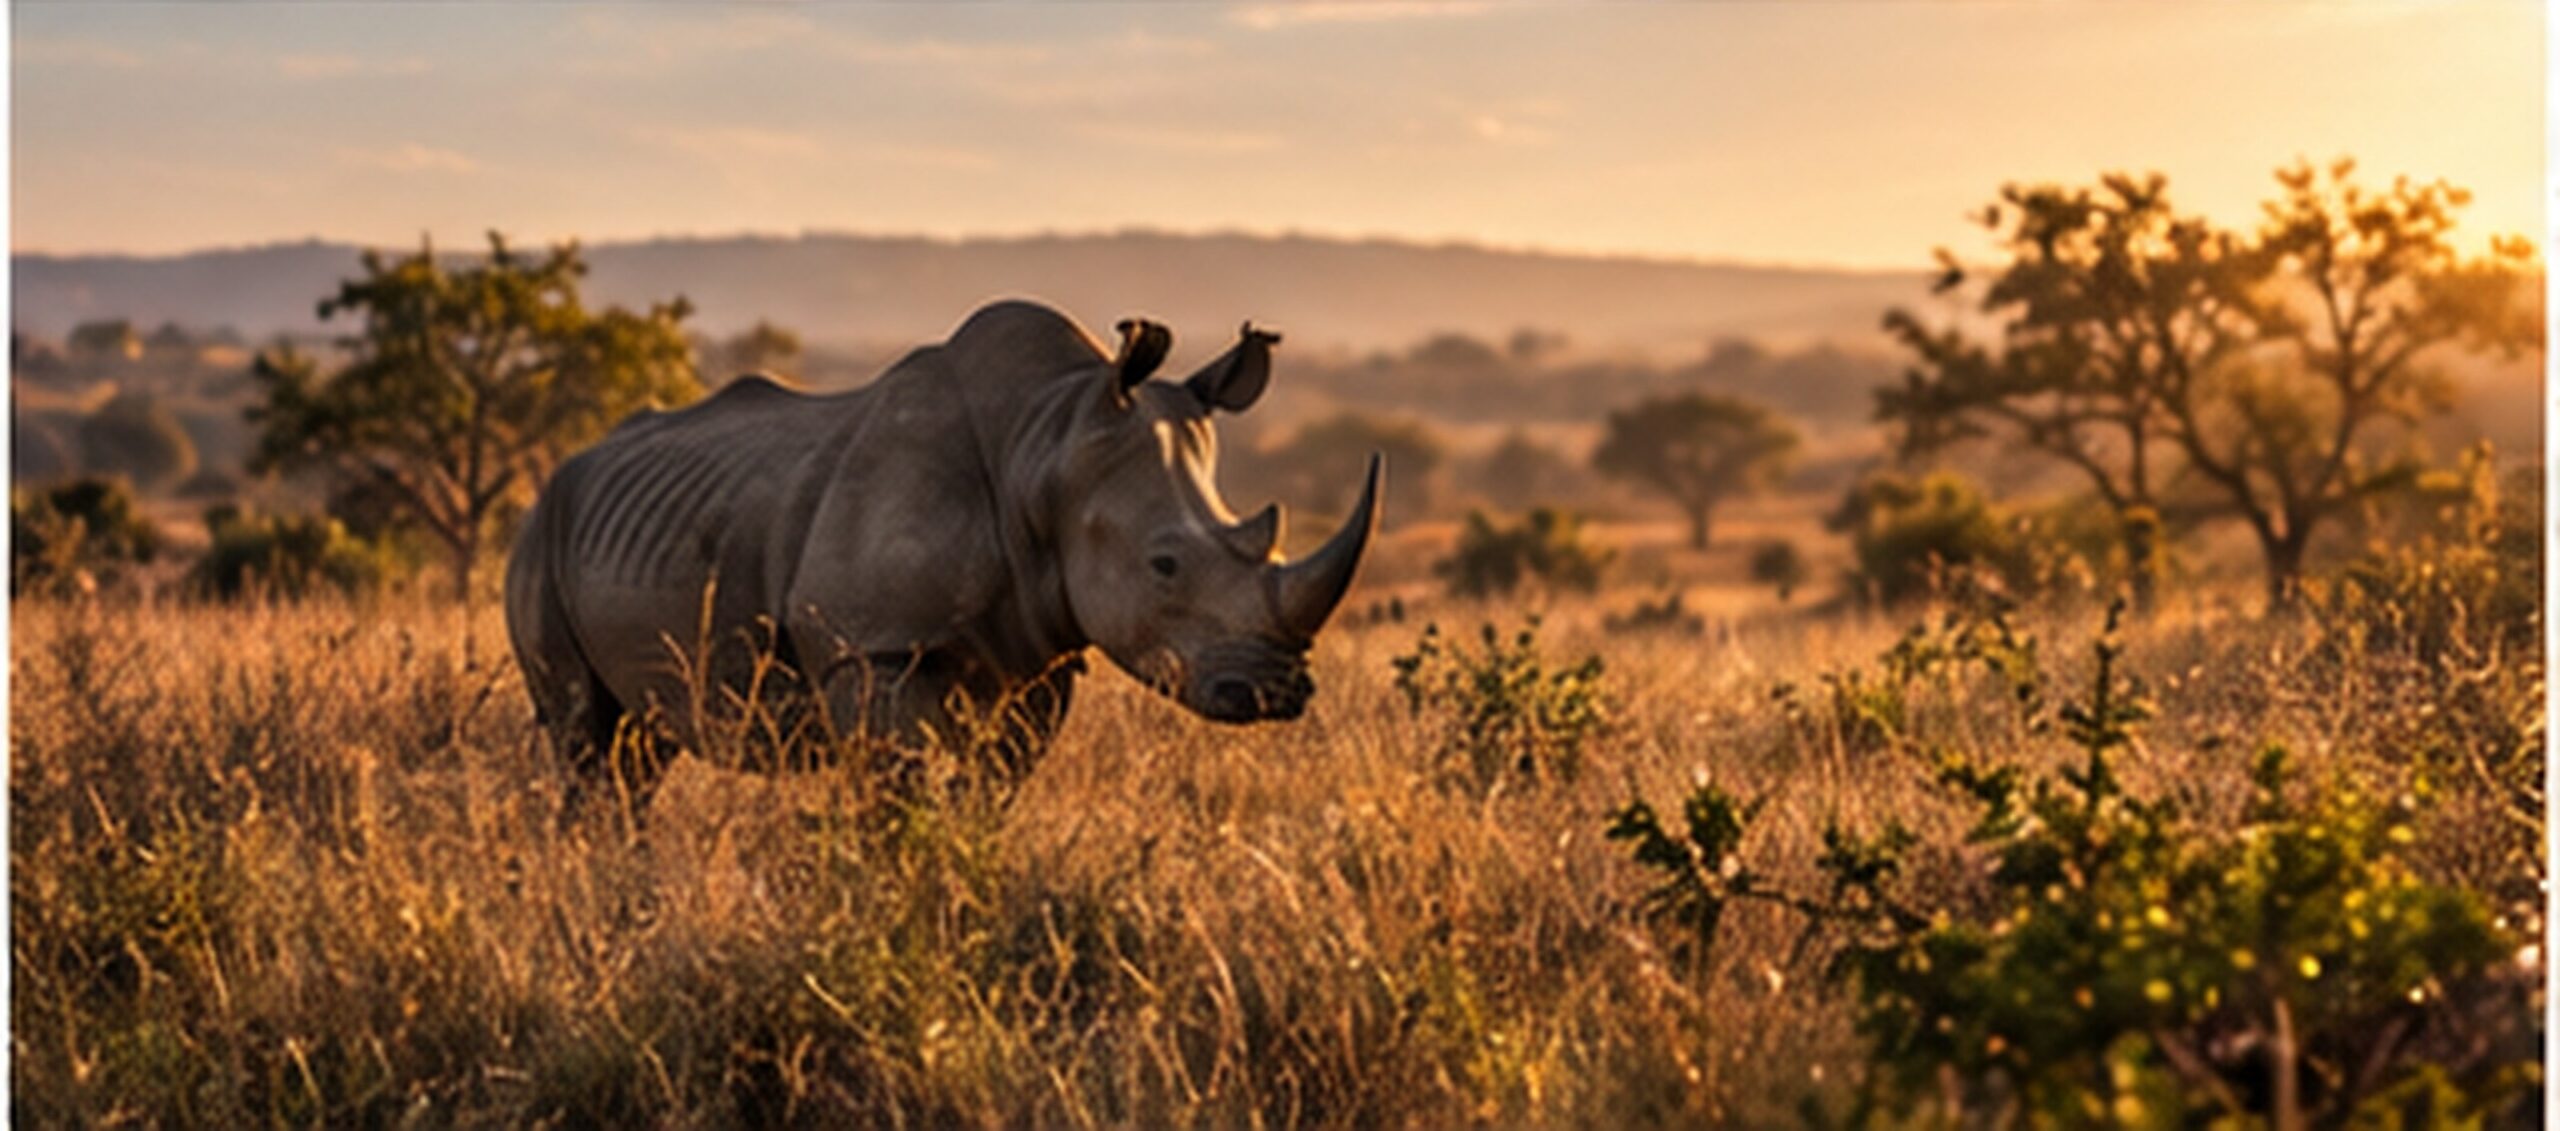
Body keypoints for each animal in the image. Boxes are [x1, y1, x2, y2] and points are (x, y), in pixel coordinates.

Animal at [504, 300, 1380, 795]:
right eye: (1163, 565)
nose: (1277, 691)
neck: (1044, 446)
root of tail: (556, 475)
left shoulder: (1041, 654)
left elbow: (991, 787)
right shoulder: (870, 646)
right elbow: (898, 790)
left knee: (636, 753)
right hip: (537, 539)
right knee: (584, 737)